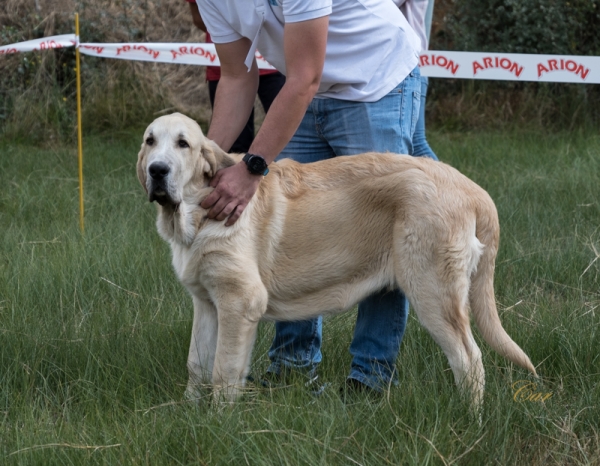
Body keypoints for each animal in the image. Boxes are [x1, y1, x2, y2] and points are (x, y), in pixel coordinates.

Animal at [137, 114, 540, 408]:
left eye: (183, 144)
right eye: (150, 141)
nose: (157, 170)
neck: (196, 211)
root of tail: (470, 187)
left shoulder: (239, 302)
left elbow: (224, 370)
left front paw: (221, 421)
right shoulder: (207, 303)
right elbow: (197, 363)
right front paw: (190, 411)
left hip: (432, 293)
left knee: (469, 359)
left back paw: (468, 418)